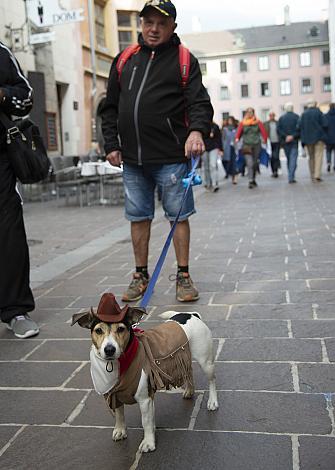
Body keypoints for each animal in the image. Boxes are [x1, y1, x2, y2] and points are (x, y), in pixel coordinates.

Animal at [72, 294, 219, 452]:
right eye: (98, 330)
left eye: (121, 329)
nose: (109, 349)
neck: (120, 363)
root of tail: (191, 314)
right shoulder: (115, 395)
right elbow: (119, 415)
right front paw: (120, 430)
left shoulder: (144, 399)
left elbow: (146, 422)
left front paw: (149, 442)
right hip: (184, 356)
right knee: (189, 371)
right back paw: (190, 391)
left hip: (206, 361)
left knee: (212, 380)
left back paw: (212, 402)